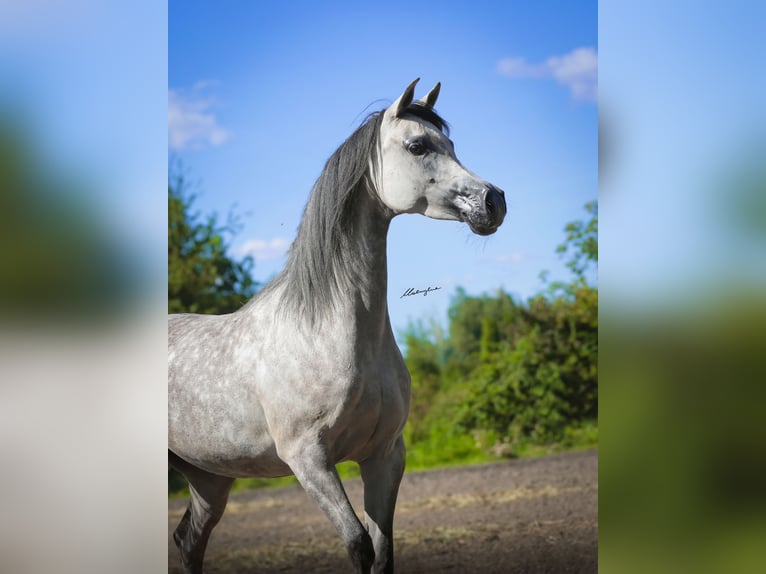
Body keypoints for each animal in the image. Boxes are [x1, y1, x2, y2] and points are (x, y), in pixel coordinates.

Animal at [168, 78, 506, 574]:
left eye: (452, 146)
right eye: (418, 145)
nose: (493, 201)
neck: (327, 332)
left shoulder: (385, 456)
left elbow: (383, 550)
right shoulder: (309, 461)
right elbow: (358, 544)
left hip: (209, 478)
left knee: (189, 541)